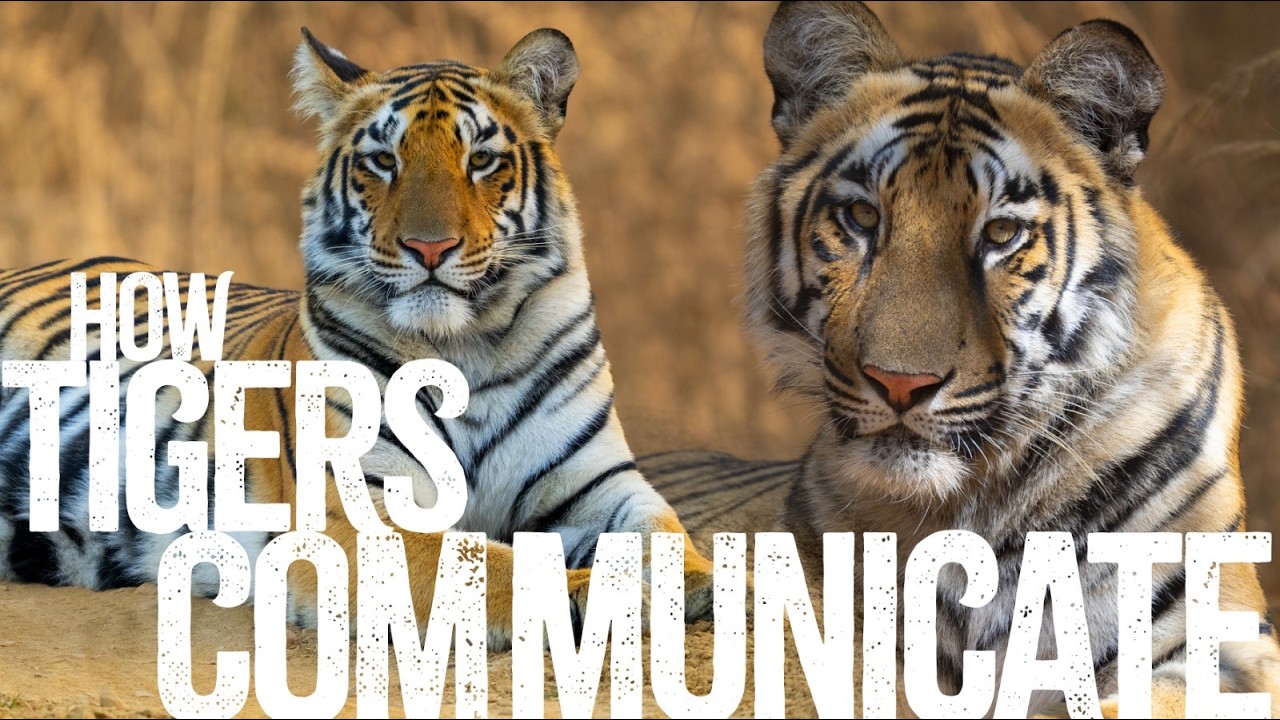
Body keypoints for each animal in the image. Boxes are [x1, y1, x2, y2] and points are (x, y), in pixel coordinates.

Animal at [0, 27, 715, 650]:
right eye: (383, 161)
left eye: (481, 160)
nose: (430, 247)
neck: (470, 347)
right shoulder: (357, 514)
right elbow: (492, 564)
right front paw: (608, 595)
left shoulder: (598, 484)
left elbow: (665, 534)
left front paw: (708, 584)